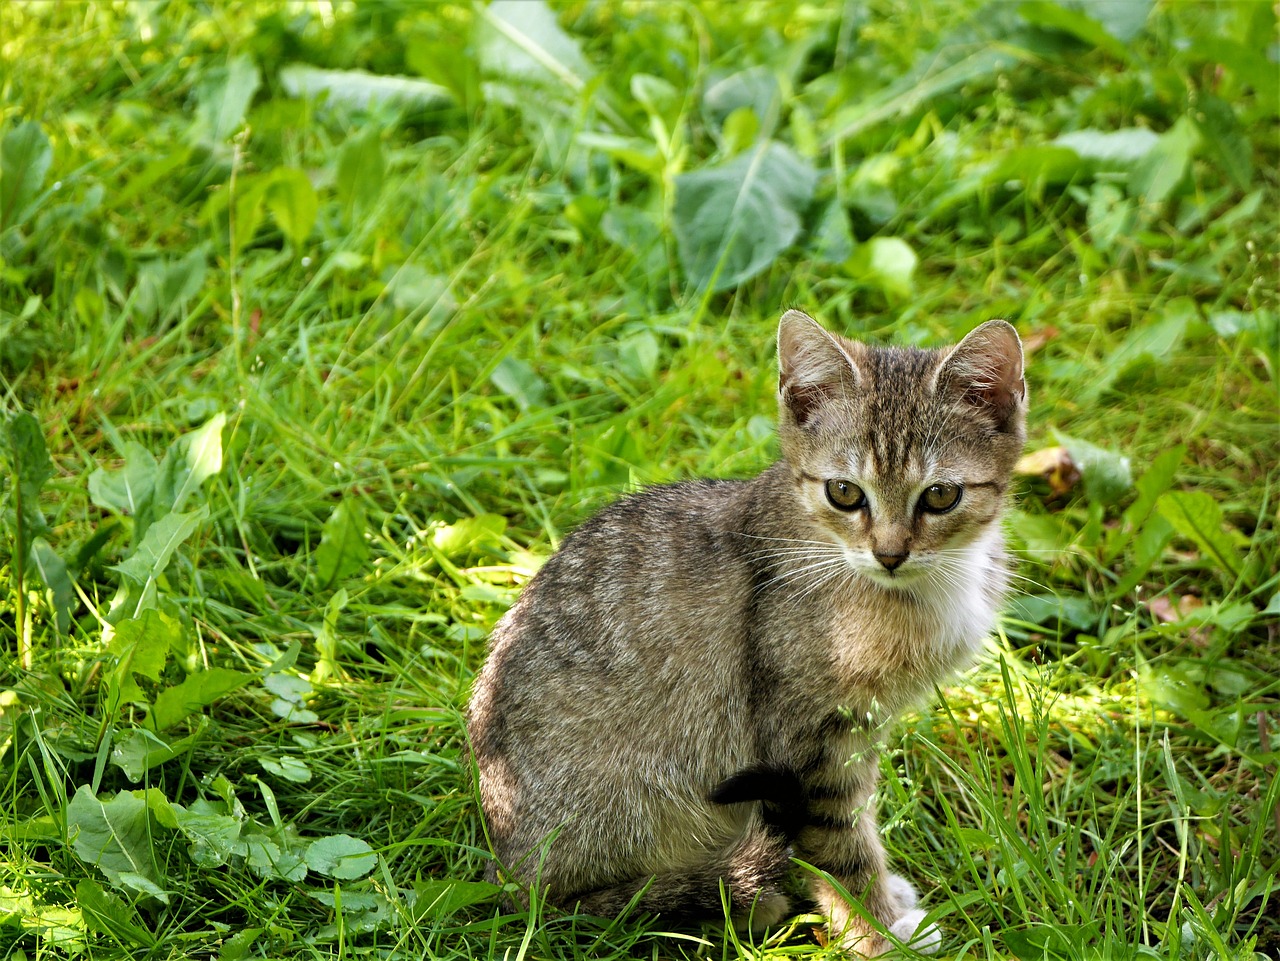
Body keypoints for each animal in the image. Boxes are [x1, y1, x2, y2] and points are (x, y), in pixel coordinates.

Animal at [465, 309, 1024, 957]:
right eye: (844, 492)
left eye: (940, 495)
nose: (889, 554)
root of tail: (509, 872)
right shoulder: (807, 741)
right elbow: (840, 847)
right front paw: (878, 932)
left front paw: (884, 910)